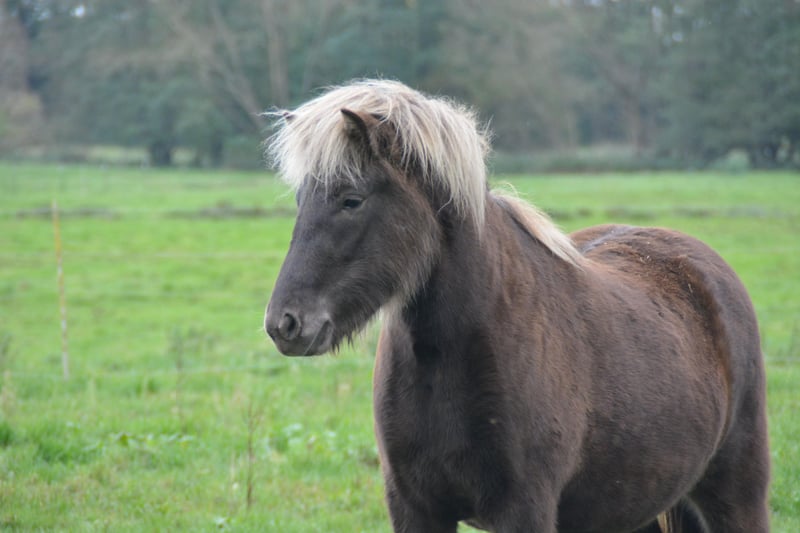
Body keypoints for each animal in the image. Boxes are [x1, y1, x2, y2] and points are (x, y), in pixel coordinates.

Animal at [263, 80, 770, 532]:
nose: (284, 323)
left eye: (351, 200)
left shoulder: (524, 509)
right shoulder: (414, 508)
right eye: (301, 200)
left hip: (736, 494)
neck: (449, 357)